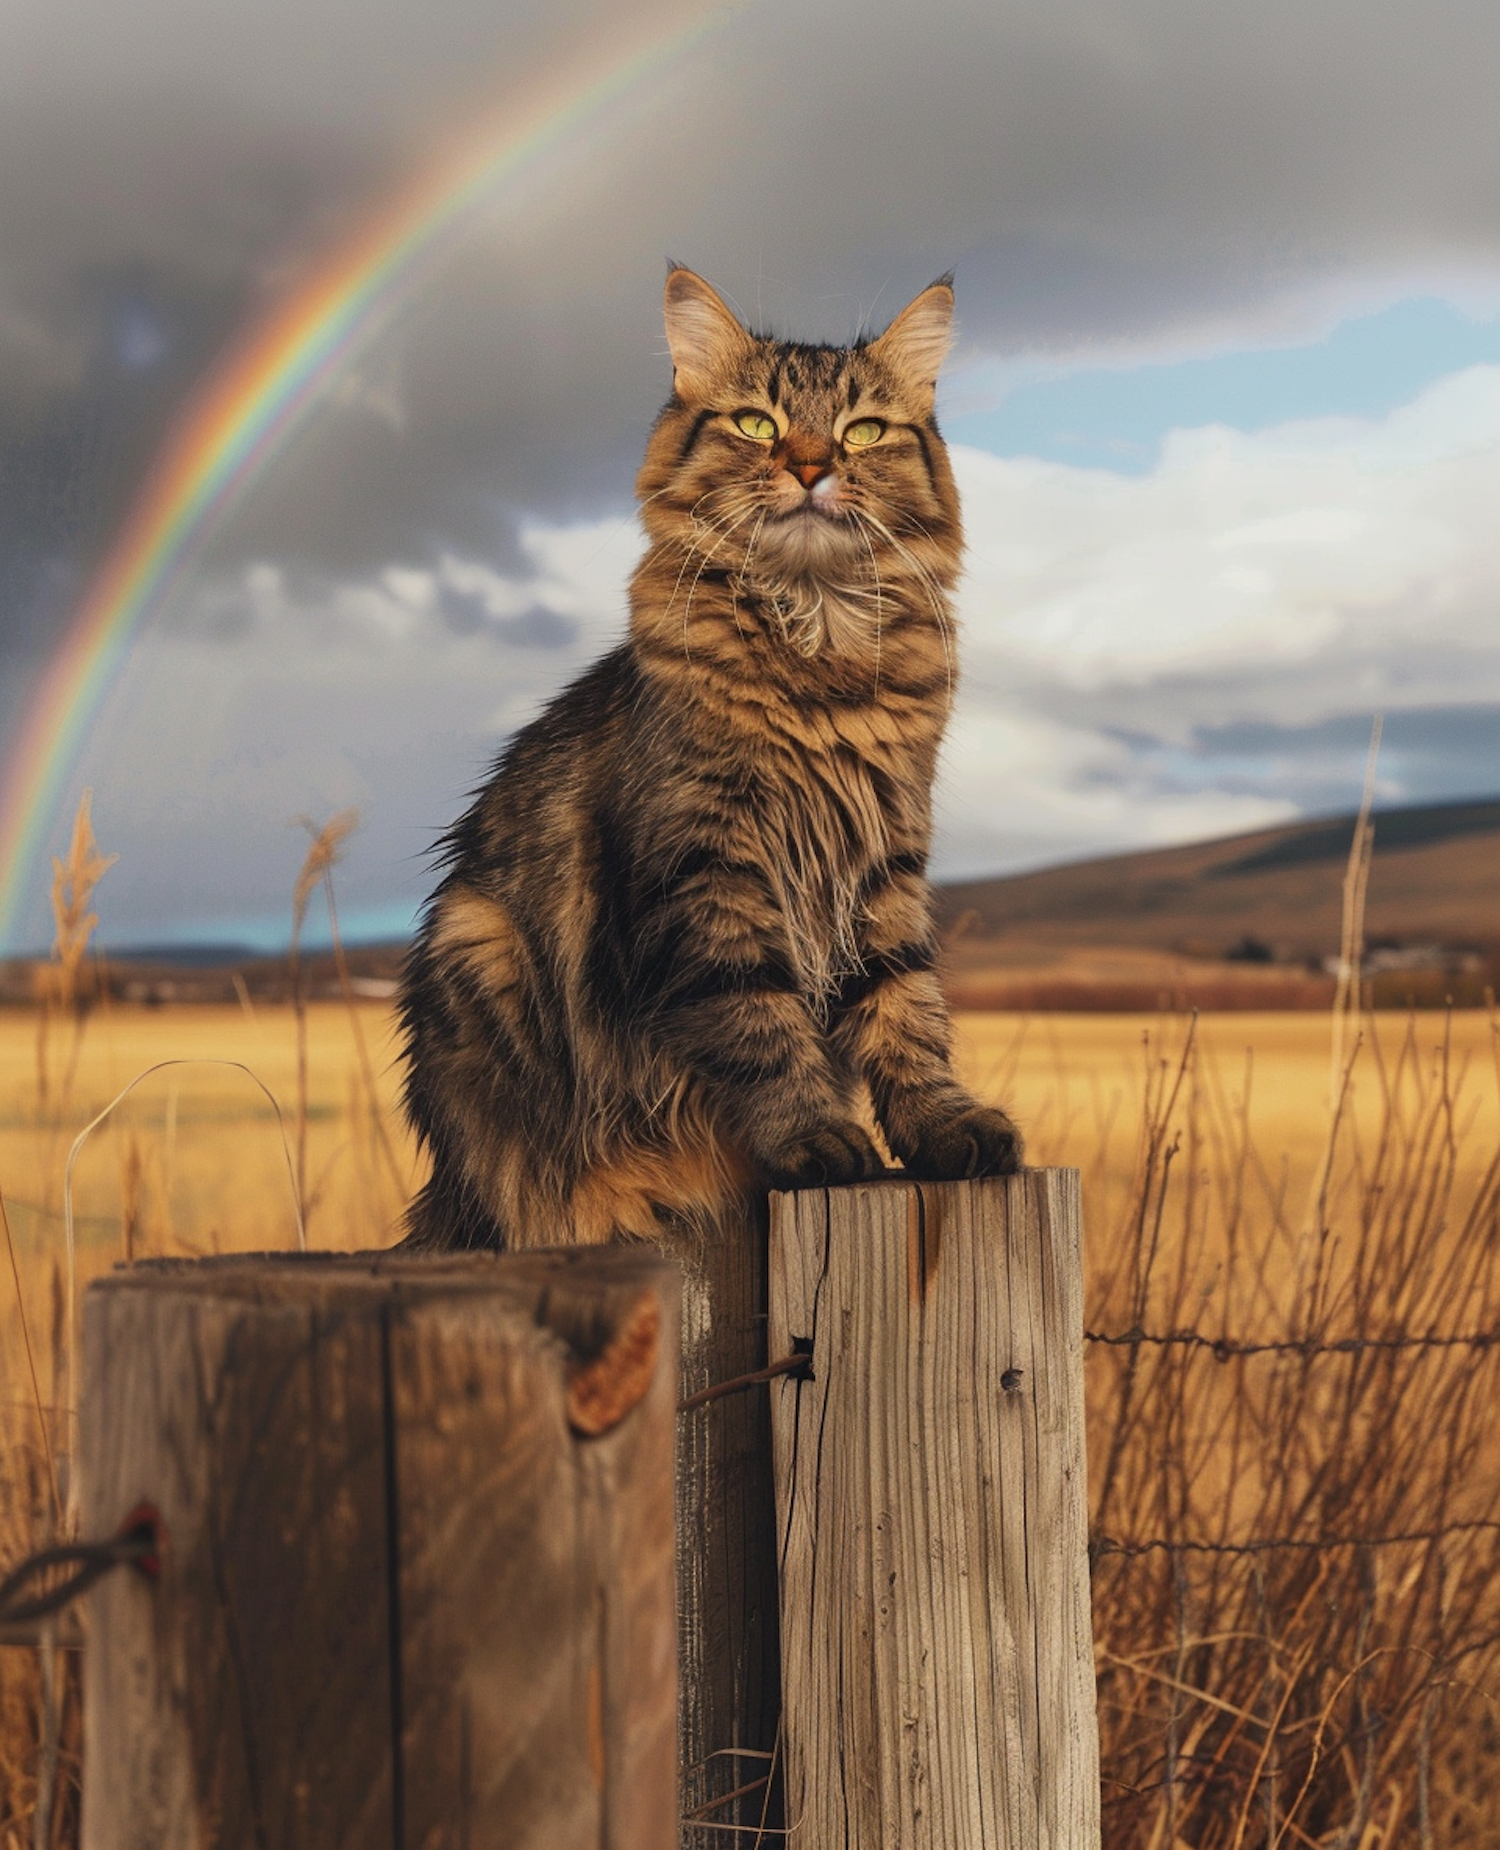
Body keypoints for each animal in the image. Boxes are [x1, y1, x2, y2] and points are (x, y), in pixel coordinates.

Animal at [401, 268, 1020, 1250]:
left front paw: (942, 1123)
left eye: (864, 431)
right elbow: (759, 1020)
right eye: (757, 424)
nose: (809, 465)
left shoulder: (887, 855)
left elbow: (907, 1008)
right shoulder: (710, 863)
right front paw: (814, 1138)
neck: (819, 656)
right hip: (480, 945)